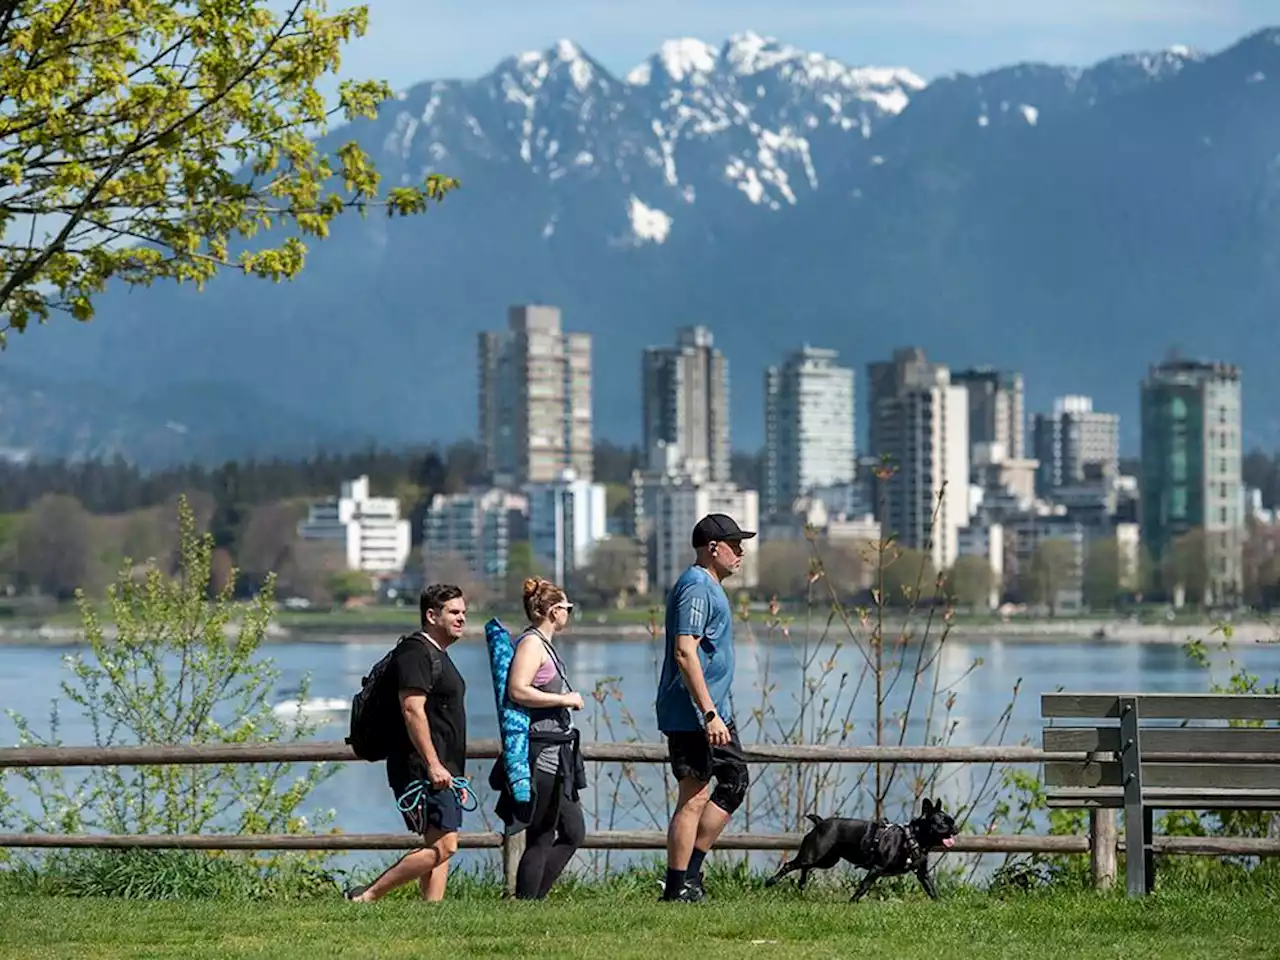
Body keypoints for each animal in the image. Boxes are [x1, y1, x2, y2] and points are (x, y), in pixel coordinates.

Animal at [757, 798, 962, 901]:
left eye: (952, 821)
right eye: (942, 824)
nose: (956, 828)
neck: (913, 837)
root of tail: (820, 823)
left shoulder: (922, 874)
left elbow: (931, 889)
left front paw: (940, 903)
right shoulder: (877, 868)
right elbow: (864, 886)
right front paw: (852, 902)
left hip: (828, 860)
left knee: (805, 867)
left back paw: (801, 884)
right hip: (815, 853)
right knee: (791, 864)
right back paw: (771, 881)